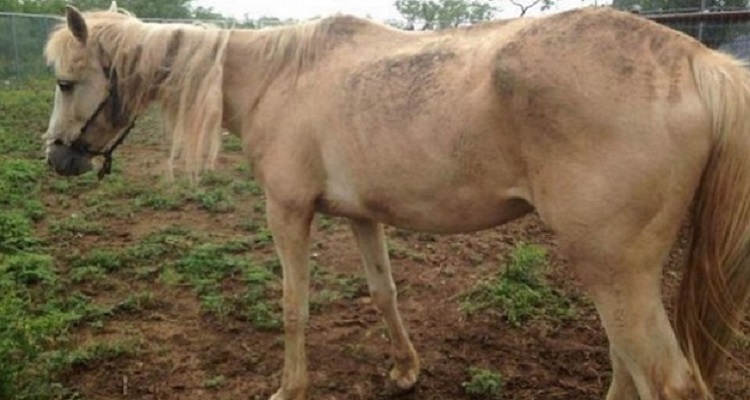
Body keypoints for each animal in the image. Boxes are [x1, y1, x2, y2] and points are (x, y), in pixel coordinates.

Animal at [42, 3, 750, 400]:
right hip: (612, 276)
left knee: (664, 381)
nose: (55, 158)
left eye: (67, 82)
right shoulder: (363, 217)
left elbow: (294, 309)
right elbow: (384, 294)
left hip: (614, 272)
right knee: (627, 368)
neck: (278, 77)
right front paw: (406, 371)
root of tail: (700, 63)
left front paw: (290, 388)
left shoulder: (287, 213)